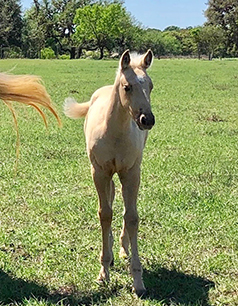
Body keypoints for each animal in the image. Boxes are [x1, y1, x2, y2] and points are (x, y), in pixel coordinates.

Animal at [64, 50, 155, 296]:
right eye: (127, 87)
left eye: (151, 86)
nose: (147, 120)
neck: (115, 132)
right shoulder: (99, 172)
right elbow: (104, 214)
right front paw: (104, 272)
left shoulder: (131, 172)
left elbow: (132, 217)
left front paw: (138, 281)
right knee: (112, 198)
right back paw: (113, 251)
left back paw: (122, 248)